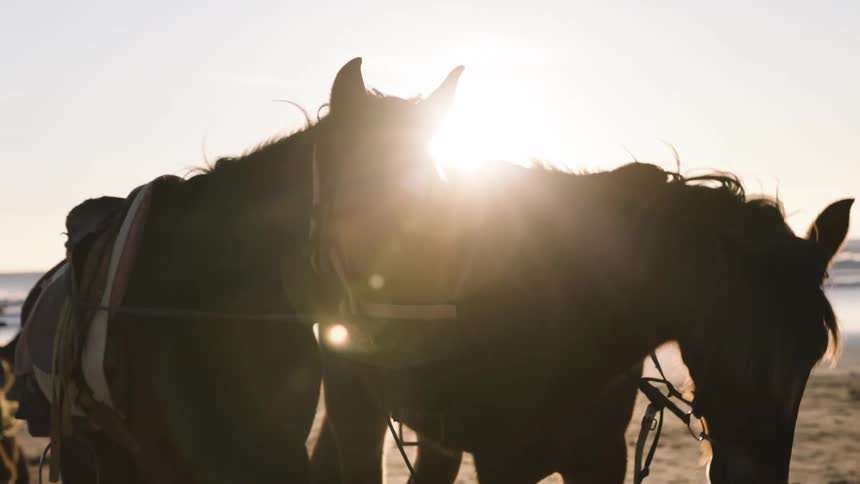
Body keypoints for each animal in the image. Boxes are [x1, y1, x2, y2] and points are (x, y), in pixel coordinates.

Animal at [312, 159, 852, 483]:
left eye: (810, 353)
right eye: (728, 341)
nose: (750, 476)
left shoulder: (600, 458)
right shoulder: (503, 462)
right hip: (353, 404)